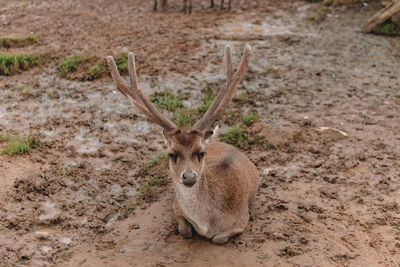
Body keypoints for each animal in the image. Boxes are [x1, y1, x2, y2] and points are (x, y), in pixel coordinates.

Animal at [106, 45, 258, 245]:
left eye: (201, 153)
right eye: (171, 154)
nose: (189, 176)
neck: (207, 222)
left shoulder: (242, 220)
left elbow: (218, 239)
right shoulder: (176, 206)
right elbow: (184, 230)